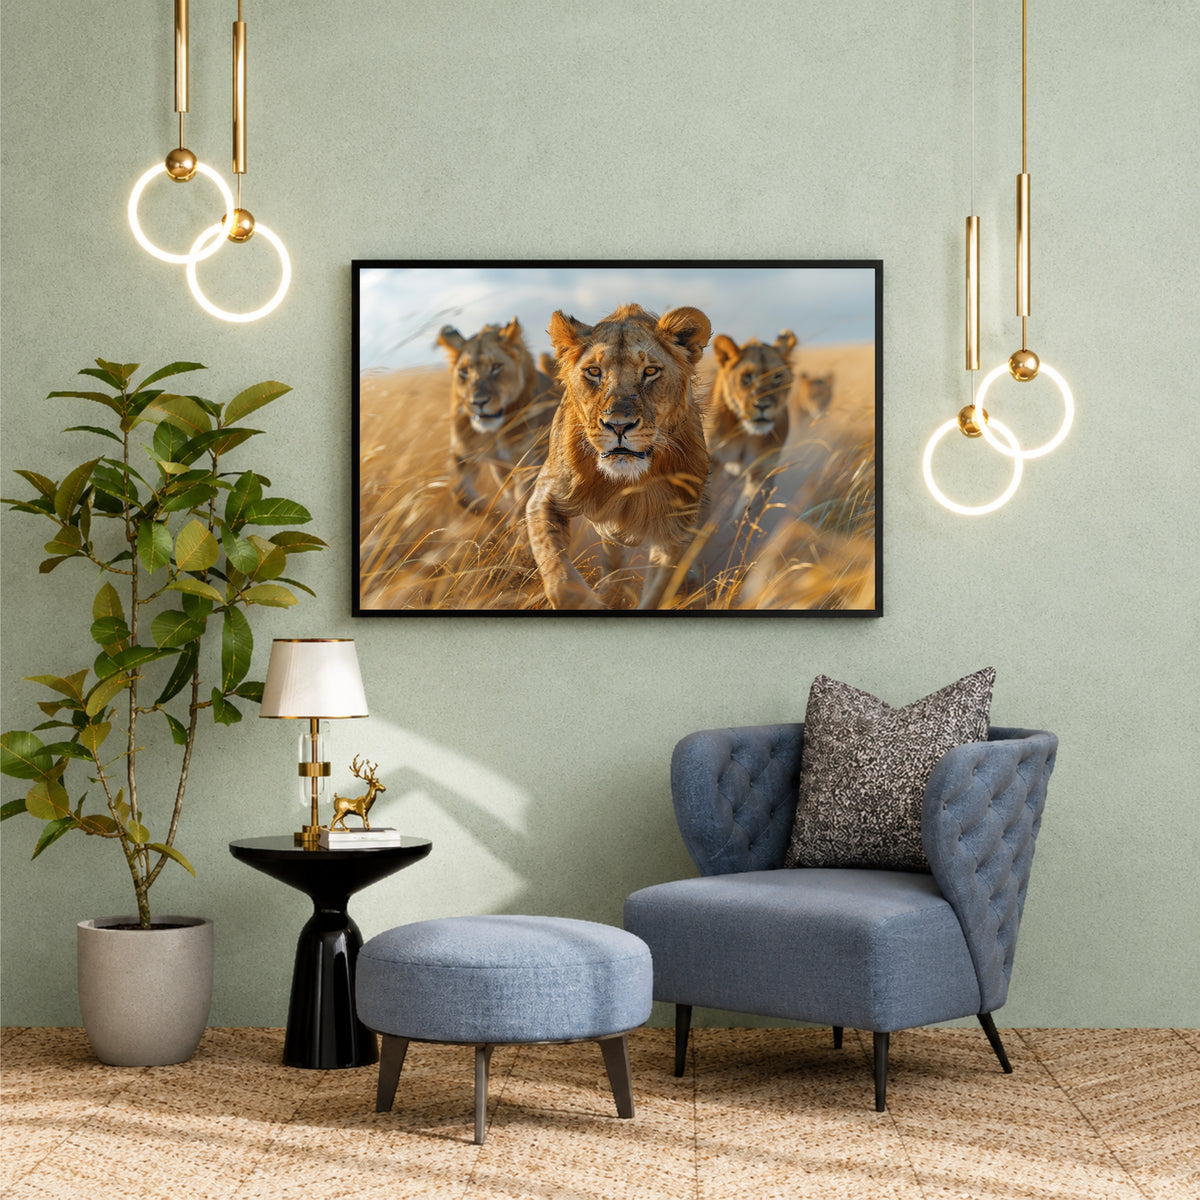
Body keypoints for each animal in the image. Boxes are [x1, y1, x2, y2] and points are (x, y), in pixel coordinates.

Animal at [436, 318, 560, 514]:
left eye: (496, 367)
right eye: (464, 371)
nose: (478, 402)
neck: (493, 432)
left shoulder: (528, 463)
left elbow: (523, 503)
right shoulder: (463, 456)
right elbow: (460, 493)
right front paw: (495, 515)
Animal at [526, 303, 712, 610]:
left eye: (650, 371)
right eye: (593, 371)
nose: (619, 426)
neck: (624, 482)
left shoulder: (675, 528)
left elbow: (659, 590)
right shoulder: (546, 496)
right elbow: (560, 579)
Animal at [707, 330, 797, 489]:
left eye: (777, 376)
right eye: (747, 377)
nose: (762, 406)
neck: (746, 434)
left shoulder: (764, 468)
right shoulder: (714, 461)